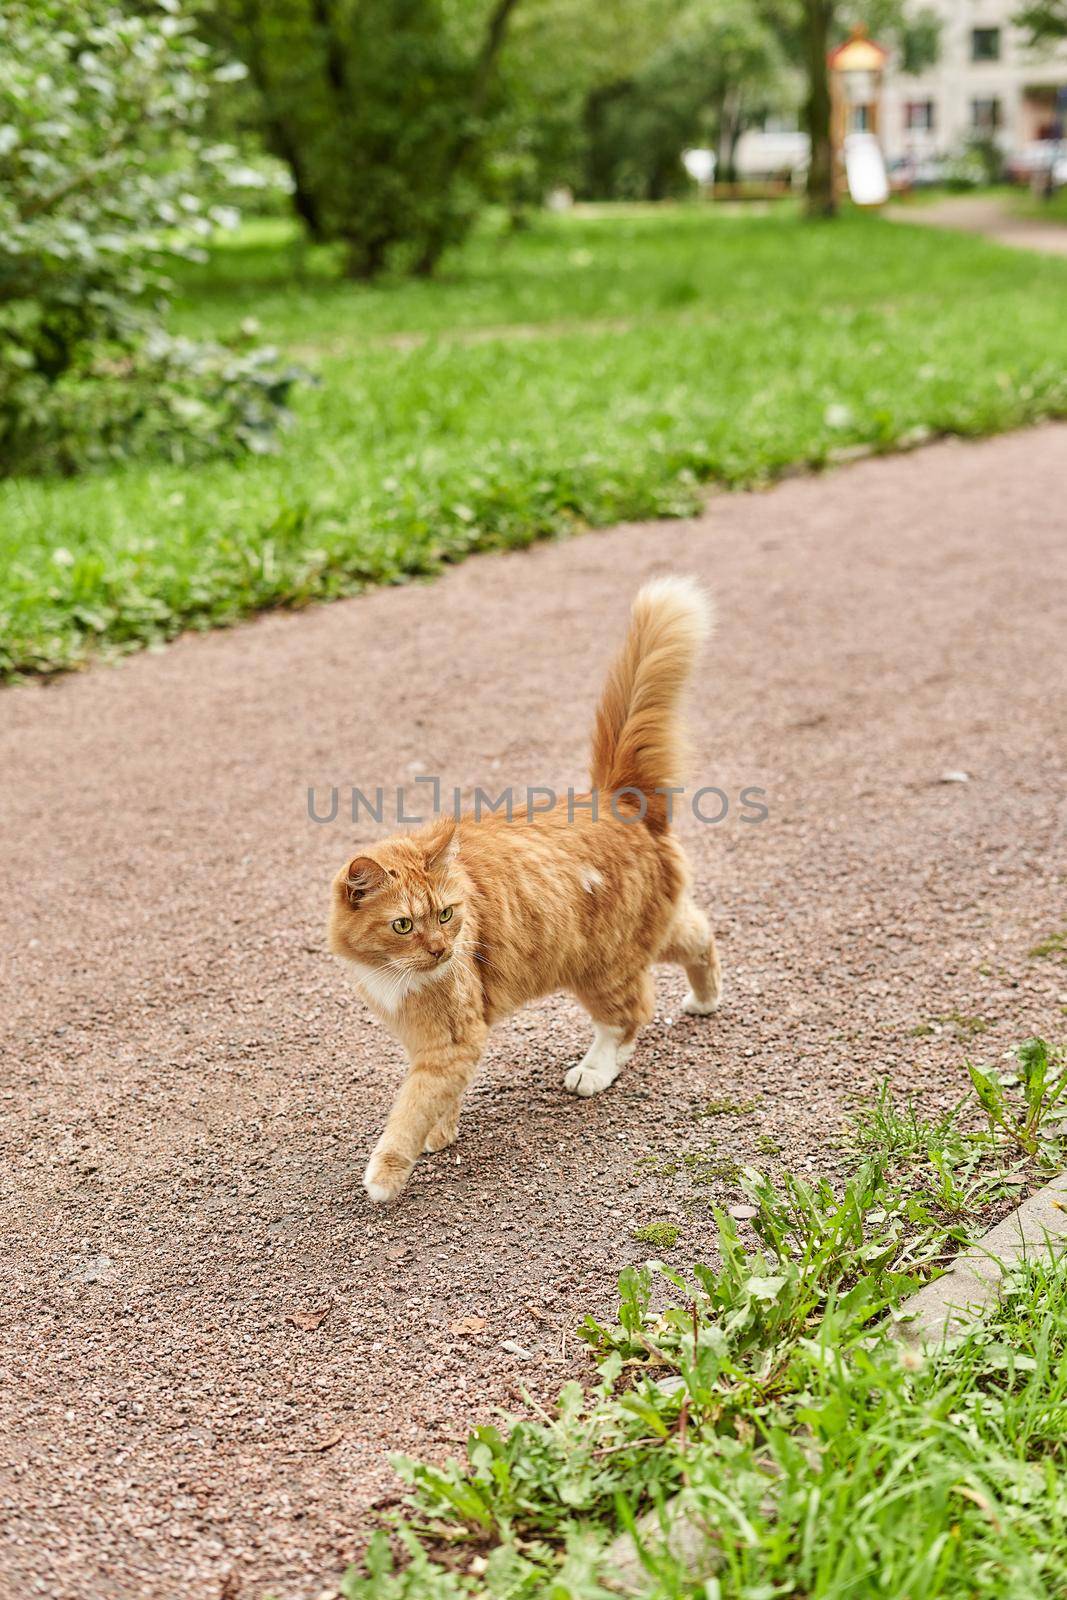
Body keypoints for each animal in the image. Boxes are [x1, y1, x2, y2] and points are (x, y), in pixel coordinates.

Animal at [329, 576, 723, 1203]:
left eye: (446, 915)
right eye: (404, 924)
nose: (440, 951)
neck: (391, 975)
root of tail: (613, 799)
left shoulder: (449, 1040)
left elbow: (408, 1110)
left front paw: (386, 1175)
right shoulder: (433, 1044)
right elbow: (439, 1100)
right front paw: (442, 1132)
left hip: (602, 965)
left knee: (628, 1018)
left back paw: (593, 1071)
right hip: (650, 934)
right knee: (700, 937)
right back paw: (706, 999)